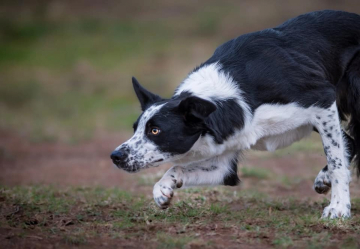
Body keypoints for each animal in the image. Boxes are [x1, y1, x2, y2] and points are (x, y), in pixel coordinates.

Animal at [111, 10, 358, 219]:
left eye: (155, 130)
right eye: (135, 128)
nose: (115, 156)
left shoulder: (322, 98)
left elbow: (336, 162)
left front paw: (338, 208)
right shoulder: (225, 160)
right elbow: (178, 167)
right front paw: (162, 189)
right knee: (350, 141)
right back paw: (323, 177)